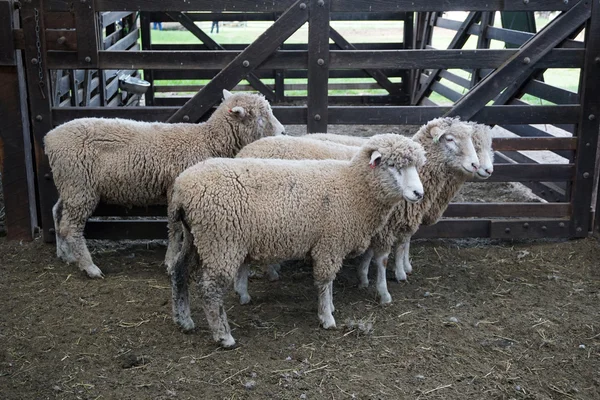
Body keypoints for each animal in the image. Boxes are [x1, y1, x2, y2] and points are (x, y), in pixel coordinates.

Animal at [44, 90, 284, 278]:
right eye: (261, 117)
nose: (283, 132)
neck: (209, 141)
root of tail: (49, 138)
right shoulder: (175, 189)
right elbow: (175, 228)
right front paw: (171, 261)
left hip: (69, 185)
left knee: (57, 213)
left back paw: (65, 254)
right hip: (79, 186)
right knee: (71, 227)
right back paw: (89, 267)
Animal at [166, 134, 424, 346]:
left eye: (416, 166)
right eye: (393, 166)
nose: (419, 194)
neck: (353, 187)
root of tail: (181, 189)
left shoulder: (329, 243)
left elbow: (328, 282)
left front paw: (329, 307)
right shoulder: (330, 242)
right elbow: (325, 281)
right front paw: (327, 317)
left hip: (196, 239)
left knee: (180, 272)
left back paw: (184, 320)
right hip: (221, 241)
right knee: (210, 289)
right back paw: (223, 336)